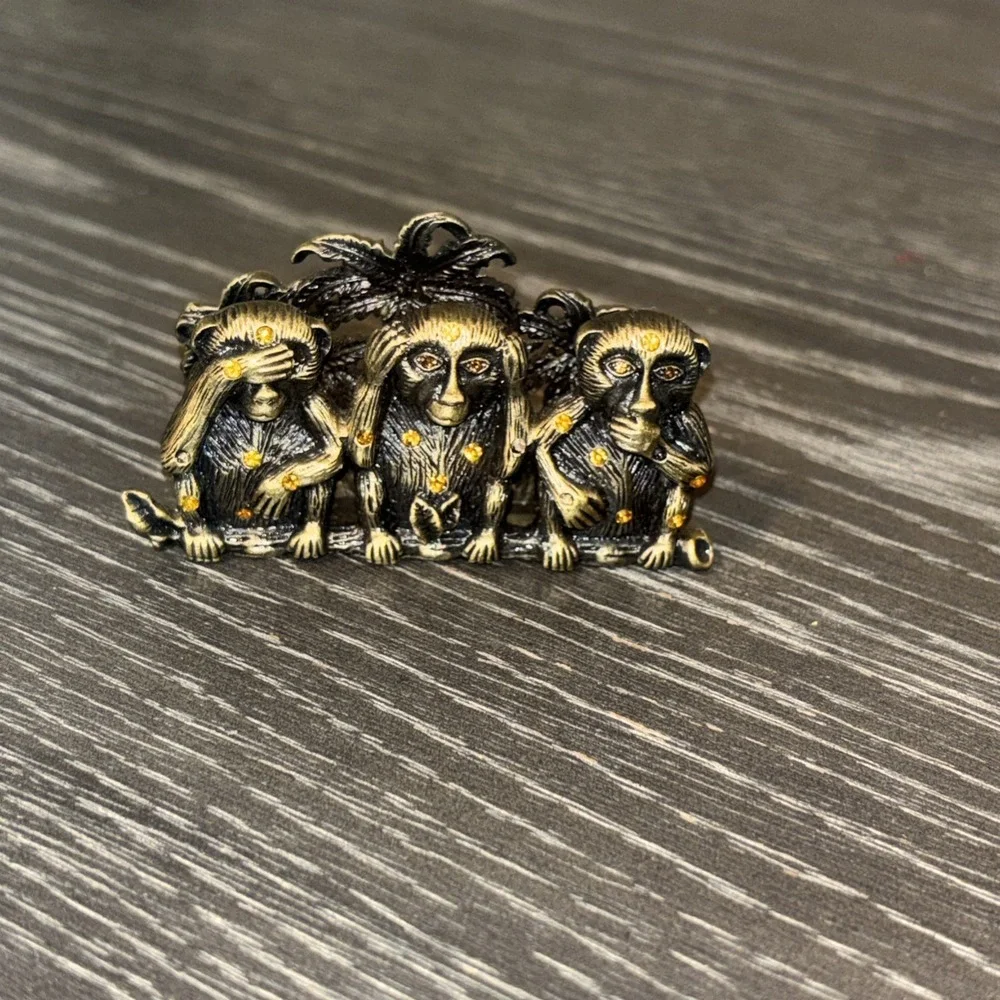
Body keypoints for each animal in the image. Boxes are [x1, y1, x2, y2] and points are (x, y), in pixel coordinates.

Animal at [122, 290, 344, 561]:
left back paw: (308, 534)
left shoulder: (313, 399)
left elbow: (334, 451)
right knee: (187, 473)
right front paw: (245, 365)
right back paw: (201, 537)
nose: (265, 396)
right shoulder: (194, 389)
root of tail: (253, 539)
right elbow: (175, 454)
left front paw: (273, 487)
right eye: (237, 352)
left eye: (294, 360)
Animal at [529, 300, 715, 571]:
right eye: (621, 368)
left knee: (679, 484)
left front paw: (643, 438)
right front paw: (575, 503)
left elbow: (701, 471)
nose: (643, 406)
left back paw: (662, 545)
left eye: (669, 373)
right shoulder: (575, 402)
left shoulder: (690, 417)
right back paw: (558, 543)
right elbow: (532, 443)